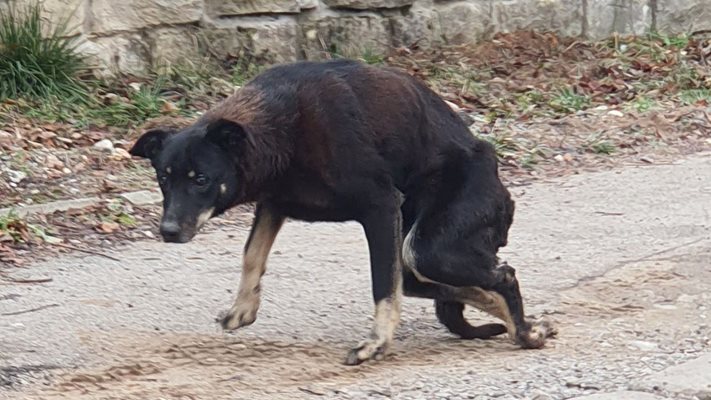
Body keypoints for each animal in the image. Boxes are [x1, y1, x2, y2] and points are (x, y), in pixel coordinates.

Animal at [131, 57, 560, 364]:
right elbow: (252, 254)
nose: (168, 231)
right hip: (417, 248)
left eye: (201, 179)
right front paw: (243, 307)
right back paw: (512, 317)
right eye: (163, 179)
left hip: (427, 246)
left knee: (502, 274)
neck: (283, 127)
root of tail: (500, 185)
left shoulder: (381, 208)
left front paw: (377, 343)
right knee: (434, 283)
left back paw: (524, 330)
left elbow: (382, 287)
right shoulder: (273, 204)